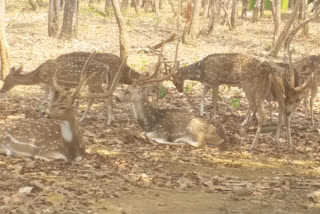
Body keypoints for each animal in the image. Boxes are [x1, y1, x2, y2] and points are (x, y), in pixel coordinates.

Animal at [0, 51, 141, 124]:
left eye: (5, 79)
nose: (2, 91)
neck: (38, 77)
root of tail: (106, 68)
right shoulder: (52, 86)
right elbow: (49, 99)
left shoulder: (51, 84)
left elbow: (50, 100)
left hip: (95, 82)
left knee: (107, 95)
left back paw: (109, 120)